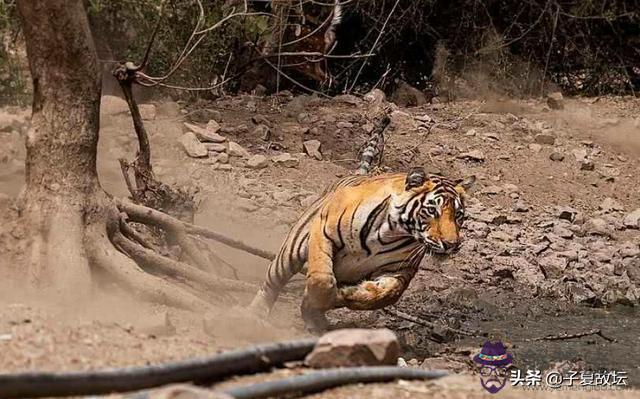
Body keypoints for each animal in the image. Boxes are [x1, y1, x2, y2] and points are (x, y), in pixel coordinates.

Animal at [249, 167, 476, 332]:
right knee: (271, 284)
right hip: (291, 252)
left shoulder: (400, 270)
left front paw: (346, 294)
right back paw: (254, 315)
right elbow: (321, 279)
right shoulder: (324, 232)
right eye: (431, 211)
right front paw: (322, 298)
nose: (451, 244)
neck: (391, 233)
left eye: (458, 215)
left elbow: (387, 294)